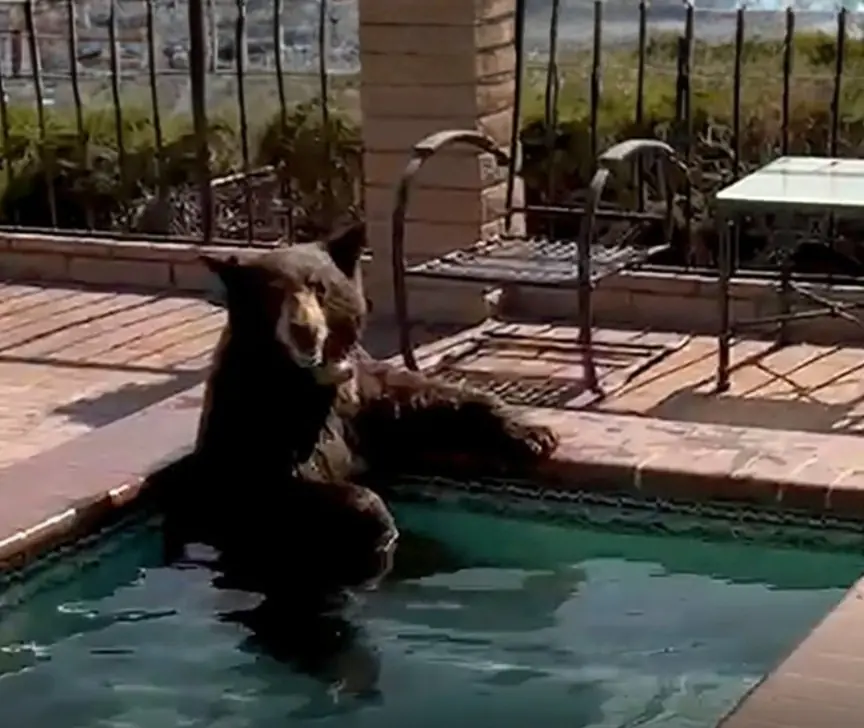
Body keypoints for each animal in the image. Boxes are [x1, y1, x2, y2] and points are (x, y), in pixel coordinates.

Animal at [181, 222, 558, 594]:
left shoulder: (358, 392)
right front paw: (378, 522)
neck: (309, 378)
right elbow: (275, 487)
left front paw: (533, 434)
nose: (304, 330)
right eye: (272, 294)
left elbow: (418, 399)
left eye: (319, 287)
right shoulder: (254, 415)